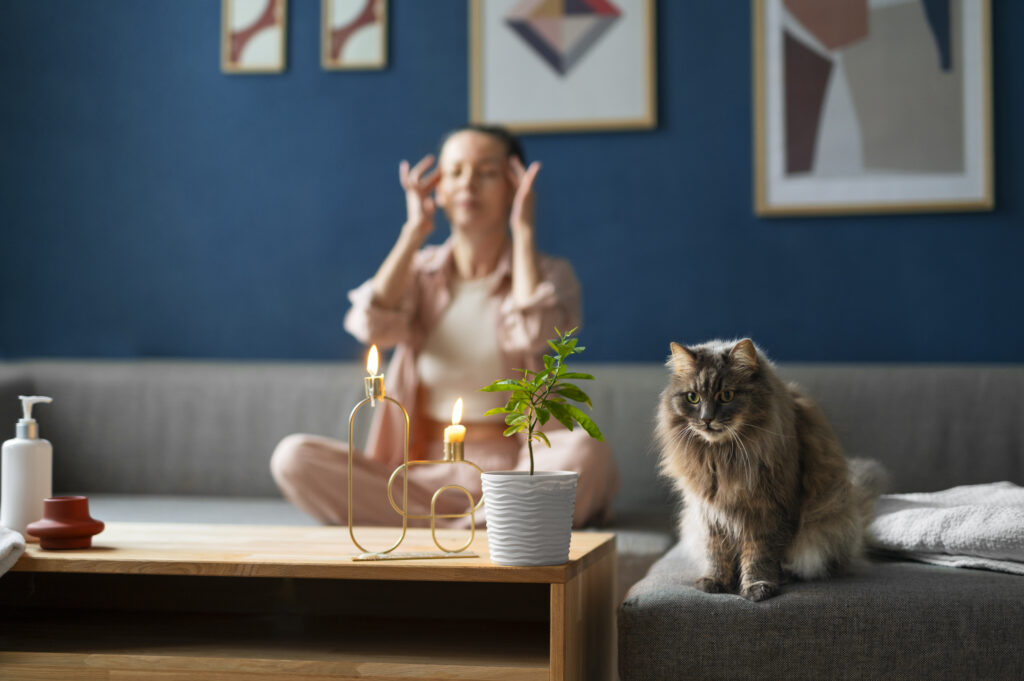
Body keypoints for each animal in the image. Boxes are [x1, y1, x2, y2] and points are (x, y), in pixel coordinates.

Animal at [655, 337, 888, 602]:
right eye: (693, 397)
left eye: (726, 395)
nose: (706, 419)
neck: (722, 457)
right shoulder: (709, 512)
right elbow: (717, 552)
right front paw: (716, 581)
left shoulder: (768, 511)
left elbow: (759, 555)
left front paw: (757, 587)